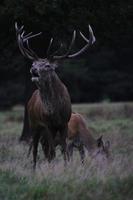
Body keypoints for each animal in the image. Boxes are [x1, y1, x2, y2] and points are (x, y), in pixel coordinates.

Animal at [15, 22, 95, 168]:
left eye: (47, 65)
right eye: (33, 63)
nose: (33, 69)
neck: (55, 112)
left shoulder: (64, 123)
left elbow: (64, 149)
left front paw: (66, 167)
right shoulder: (48, 125)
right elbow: (52, 152)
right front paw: (52, 168)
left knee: (45, 149)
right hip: (34, 124)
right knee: (36, 150)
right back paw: (34, 169)